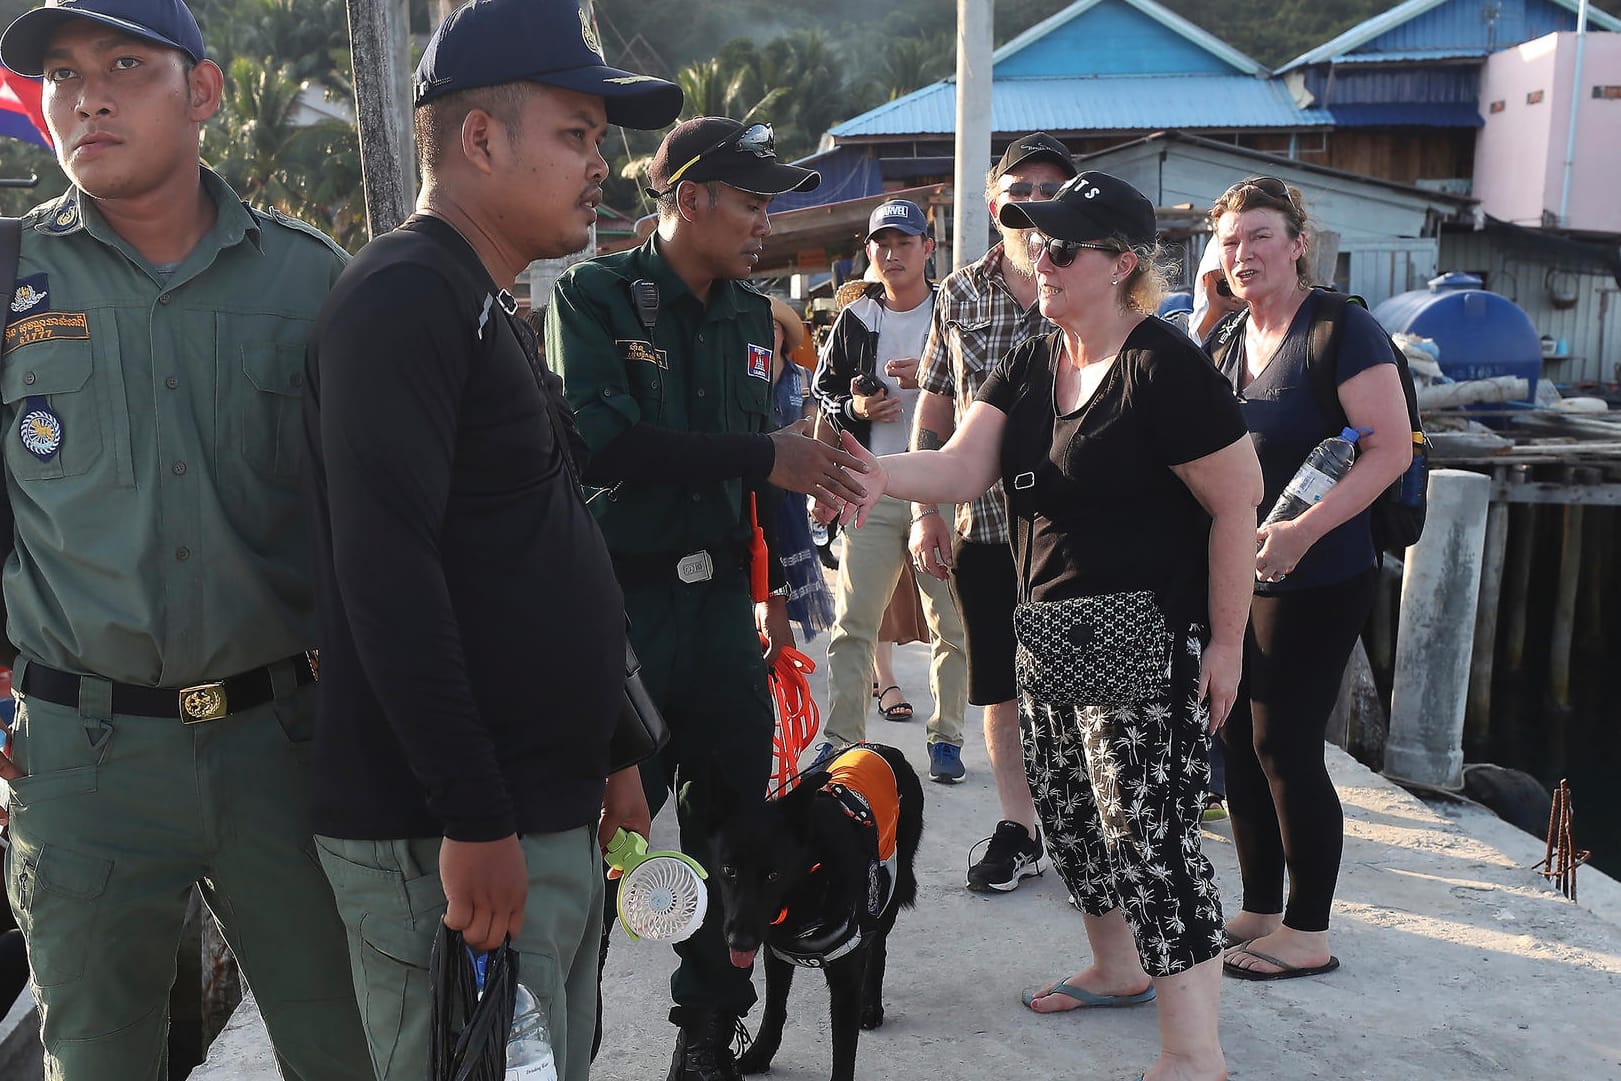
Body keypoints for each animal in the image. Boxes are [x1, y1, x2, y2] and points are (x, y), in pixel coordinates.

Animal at [697, 745, 927, 1081]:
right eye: (729, 870)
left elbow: (843, 1048)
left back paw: (871, 1005)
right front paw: (760, 1055)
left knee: (878, 949)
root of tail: (881, 748)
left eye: (773, 875)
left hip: (887, 896)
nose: (739, 942)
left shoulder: (845, 976)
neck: (811, 880)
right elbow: (775, 1011)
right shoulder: (776, 955)